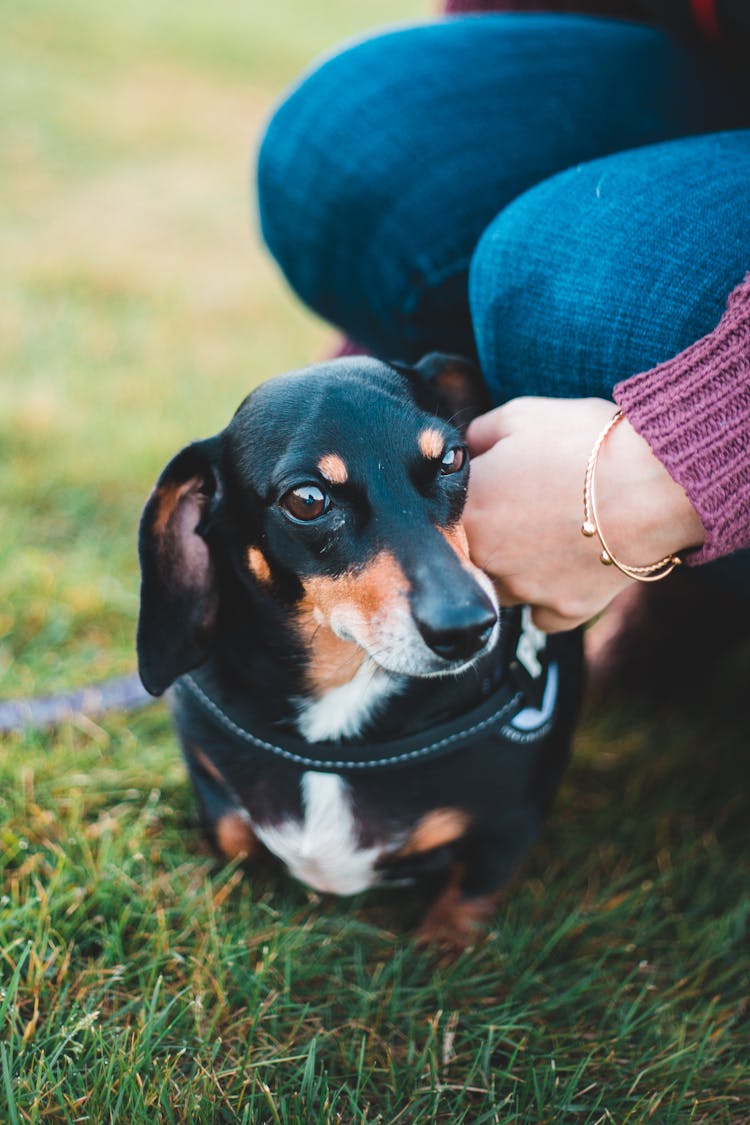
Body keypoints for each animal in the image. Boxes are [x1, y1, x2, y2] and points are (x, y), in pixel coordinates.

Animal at [137, 353, 584, 949]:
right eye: (307, 500)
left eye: (452, 458)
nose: (470, 628)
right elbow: (231, 830)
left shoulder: (508, 822)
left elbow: (466, 898)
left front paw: (441, 947)